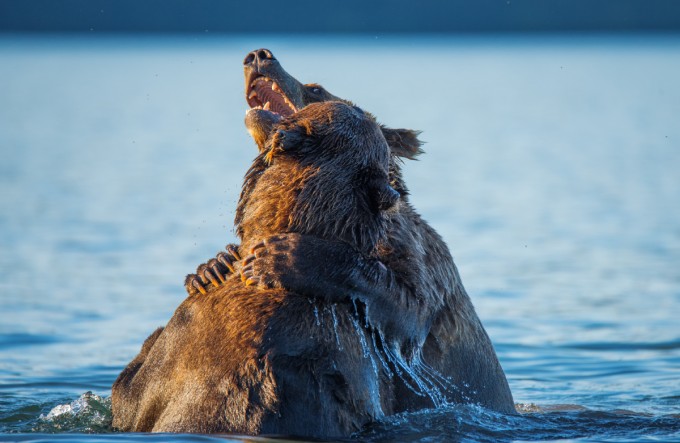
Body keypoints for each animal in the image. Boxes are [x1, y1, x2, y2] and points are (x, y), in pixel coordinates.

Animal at [187, 46, 516, 414]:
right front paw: (212, 267)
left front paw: (281, 257)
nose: (260, 55)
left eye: (316, 88)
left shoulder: (420, 260)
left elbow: (407, 306)